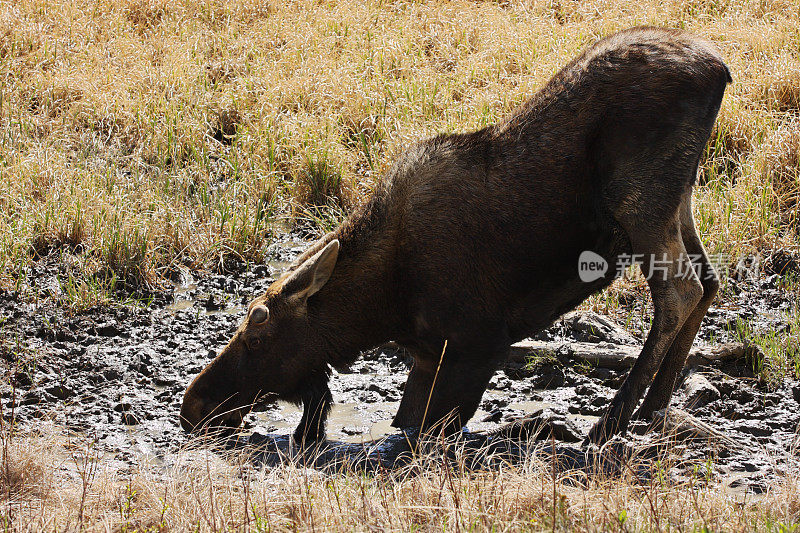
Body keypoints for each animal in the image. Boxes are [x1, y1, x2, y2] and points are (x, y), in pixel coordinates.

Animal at [180, 28, 732, 444]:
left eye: (256, 334)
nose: (193, 405)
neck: (382, 305)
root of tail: (719, 69)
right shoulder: (428, 356)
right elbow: (407, 417)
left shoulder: (478, 342)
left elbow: (438, 425)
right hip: (679, 200)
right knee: (709, 281)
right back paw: (655, 406)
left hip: (641, 202)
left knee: (679, 292)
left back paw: (613, 419)